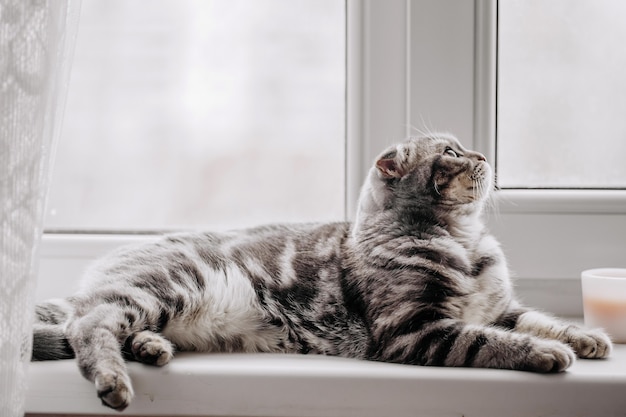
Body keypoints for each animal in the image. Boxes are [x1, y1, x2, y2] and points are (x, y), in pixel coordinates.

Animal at [33, 133, 608, 410]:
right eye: (451, 150)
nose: (484, 154)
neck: (465, 242)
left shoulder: (500, 307)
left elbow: (539, 320)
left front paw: (587, 337)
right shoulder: (416, 329)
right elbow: (492, 341)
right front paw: (548, 354)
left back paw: (151, 347)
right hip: (166, 288)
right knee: (88, 326)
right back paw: (114, 378)